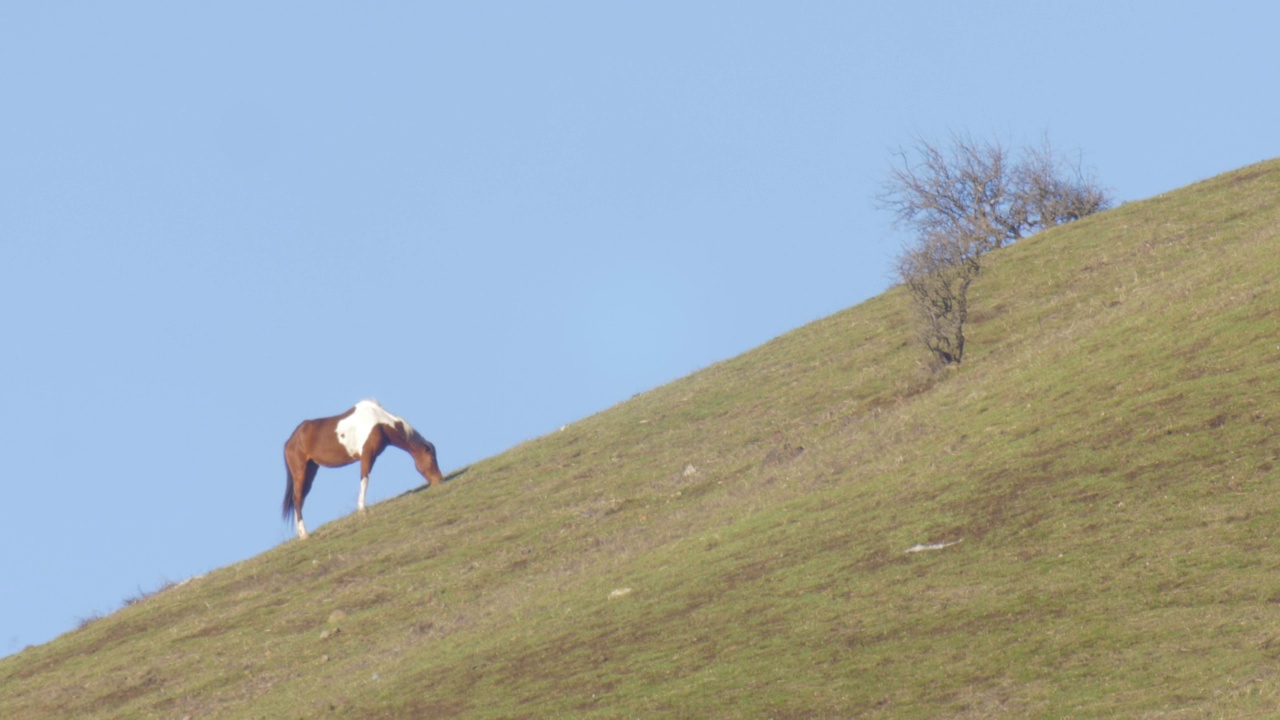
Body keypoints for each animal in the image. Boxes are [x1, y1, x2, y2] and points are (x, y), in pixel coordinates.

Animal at [282, 397, 442, 538]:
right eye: (431, 458)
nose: (439, 480)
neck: (379, 423)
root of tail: (290, 440)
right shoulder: (367, 456)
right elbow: (364, 480)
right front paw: (362, 509)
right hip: (300, 472)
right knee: (297, 499)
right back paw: (304, 535)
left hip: (311, 471)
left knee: (300, 500)